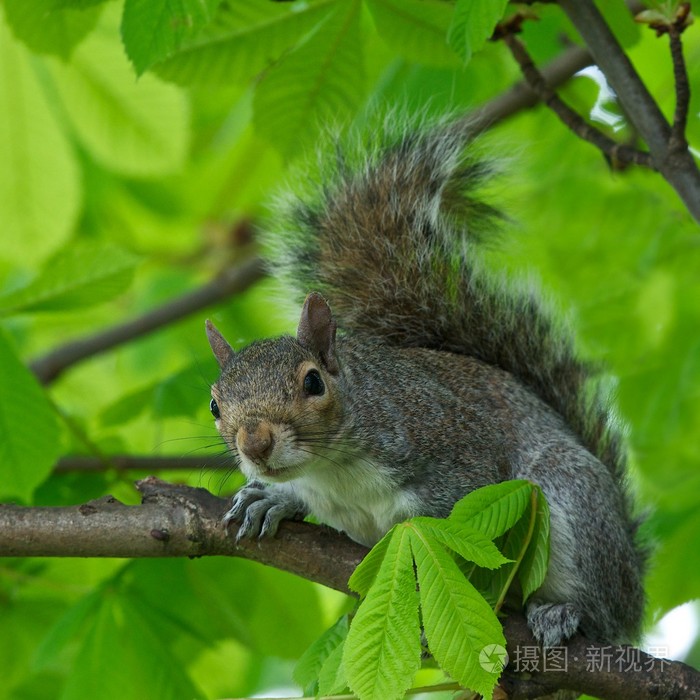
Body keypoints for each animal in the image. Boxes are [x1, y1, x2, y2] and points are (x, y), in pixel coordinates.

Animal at [204, 115, 644, 644]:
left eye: (313, 383)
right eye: (214, 405)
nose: (255, 443)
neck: (332, 472)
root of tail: (633, 582)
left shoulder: (450, 439)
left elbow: (461, 502)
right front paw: (270, 501)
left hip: (571, 497)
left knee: (600, 608)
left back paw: (564, 611)